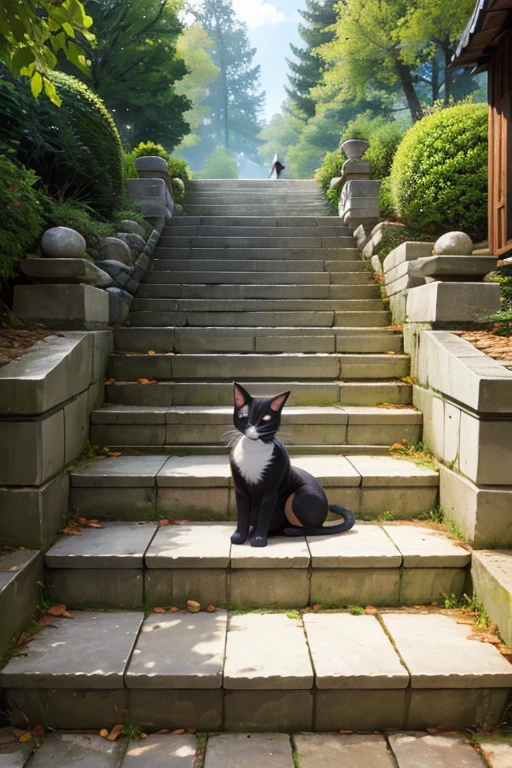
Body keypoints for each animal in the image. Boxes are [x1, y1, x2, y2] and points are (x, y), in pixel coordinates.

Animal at [230, 382, 354, 548]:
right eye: (244, 416)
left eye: (265, 419)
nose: (252, 425)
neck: (254, 449)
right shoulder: (240, 488)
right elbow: (242, 515)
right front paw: (239, 537)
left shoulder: (271, 490)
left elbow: (264, 514)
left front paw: (259, 539)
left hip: (301, 496)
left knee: (314, 528)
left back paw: (288, 530)